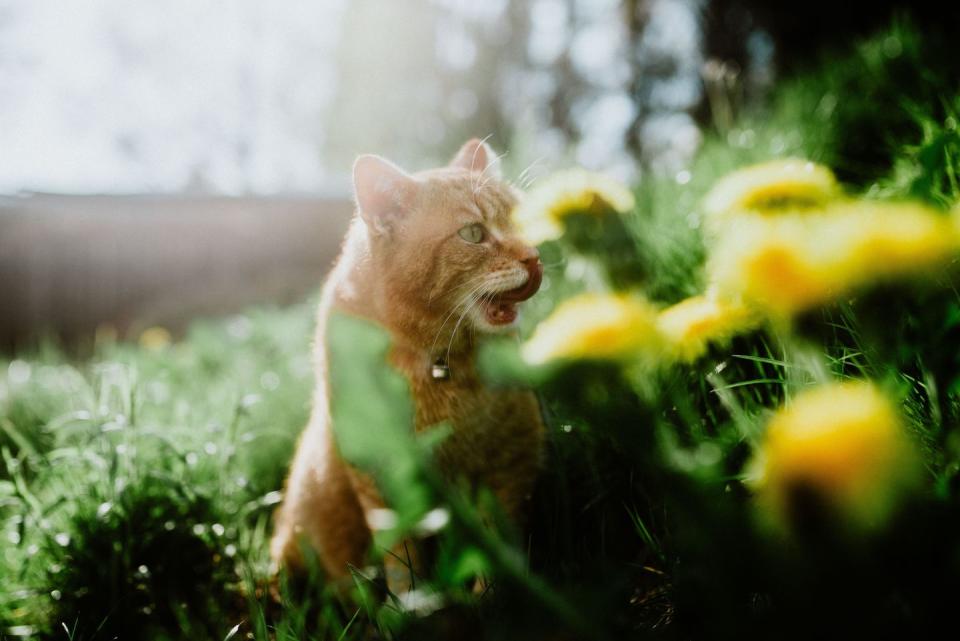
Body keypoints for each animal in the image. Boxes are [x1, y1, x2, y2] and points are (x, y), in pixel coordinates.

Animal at [274, 138, 544, 588]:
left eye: (521, 222)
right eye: (474, 233)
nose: (535, 257)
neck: (438, 361)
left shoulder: (512, 460)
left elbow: (497, 553)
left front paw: (493, 596)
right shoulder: (380, 477)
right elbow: (403, 563)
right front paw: (412, 604)